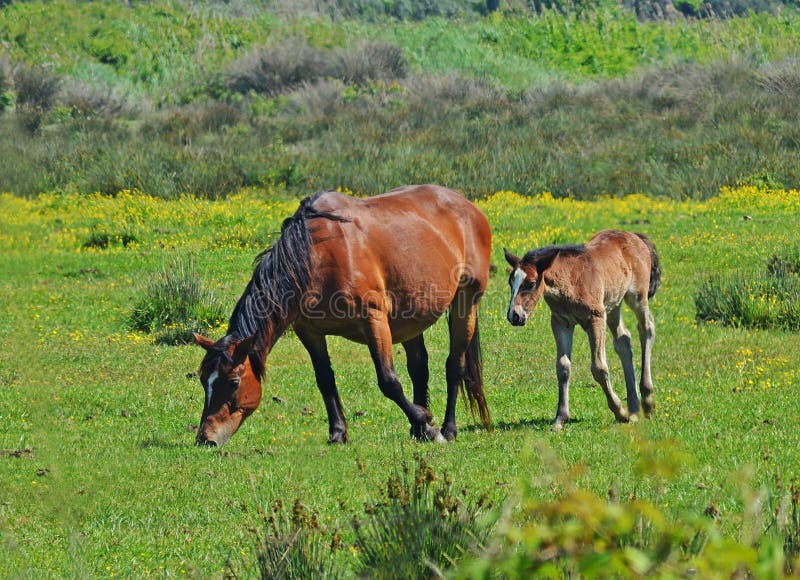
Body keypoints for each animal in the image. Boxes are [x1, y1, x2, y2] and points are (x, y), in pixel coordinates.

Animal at [195, 184, 494, 446]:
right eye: (202, 380)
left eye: (233, 382)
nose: (206, 438)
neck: (317, 254)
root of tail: (469, 207)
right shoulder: (309, 331)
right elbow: (325, 379)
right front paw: (339, 432)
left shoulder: (373, 320)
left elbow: (388, 381)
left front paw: (430, 427)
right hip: (411, 315)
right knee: (420, 367)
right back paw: (418, 429)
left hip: (466, 301)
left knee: (454, 365)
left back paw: (447, 429)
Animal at [506, 230, 664, 430]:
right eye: (510, 282)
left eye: (531, 283)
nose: (514, 316)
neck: (571, 282)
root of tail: (635, 236)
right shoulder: (561, 322)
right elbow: (563, 367)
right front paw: (560, 418)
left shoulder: (595, 319)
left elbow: (599, 368)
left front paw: (619, 411)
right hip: (612, 305)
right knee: (623, 339)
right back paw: (634, 409)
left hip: (636, 296)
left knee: (646, 329)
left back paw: (647, 401)